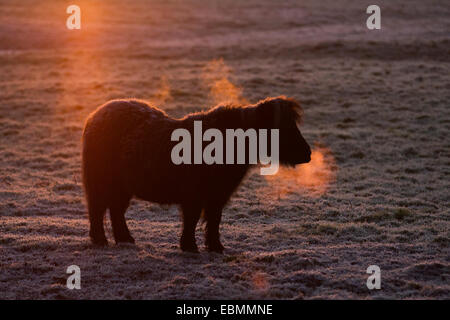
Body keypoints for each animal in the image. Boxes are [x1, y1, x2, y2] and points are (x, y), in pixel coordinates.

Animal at [82, 96, 312, 254]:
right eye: (282, 128)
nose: (308, 153)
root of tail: (94, 116)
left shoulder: (218, 196)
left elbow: (214, 220)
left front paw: (215, 247)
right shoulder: (193, 196)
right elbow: (192, 219)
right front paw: (190, 246)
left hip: (123, 187)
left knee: (115, 210)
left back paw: (125, 239)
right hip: (101, 182)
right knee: (98, 208)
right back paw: (101, 240)